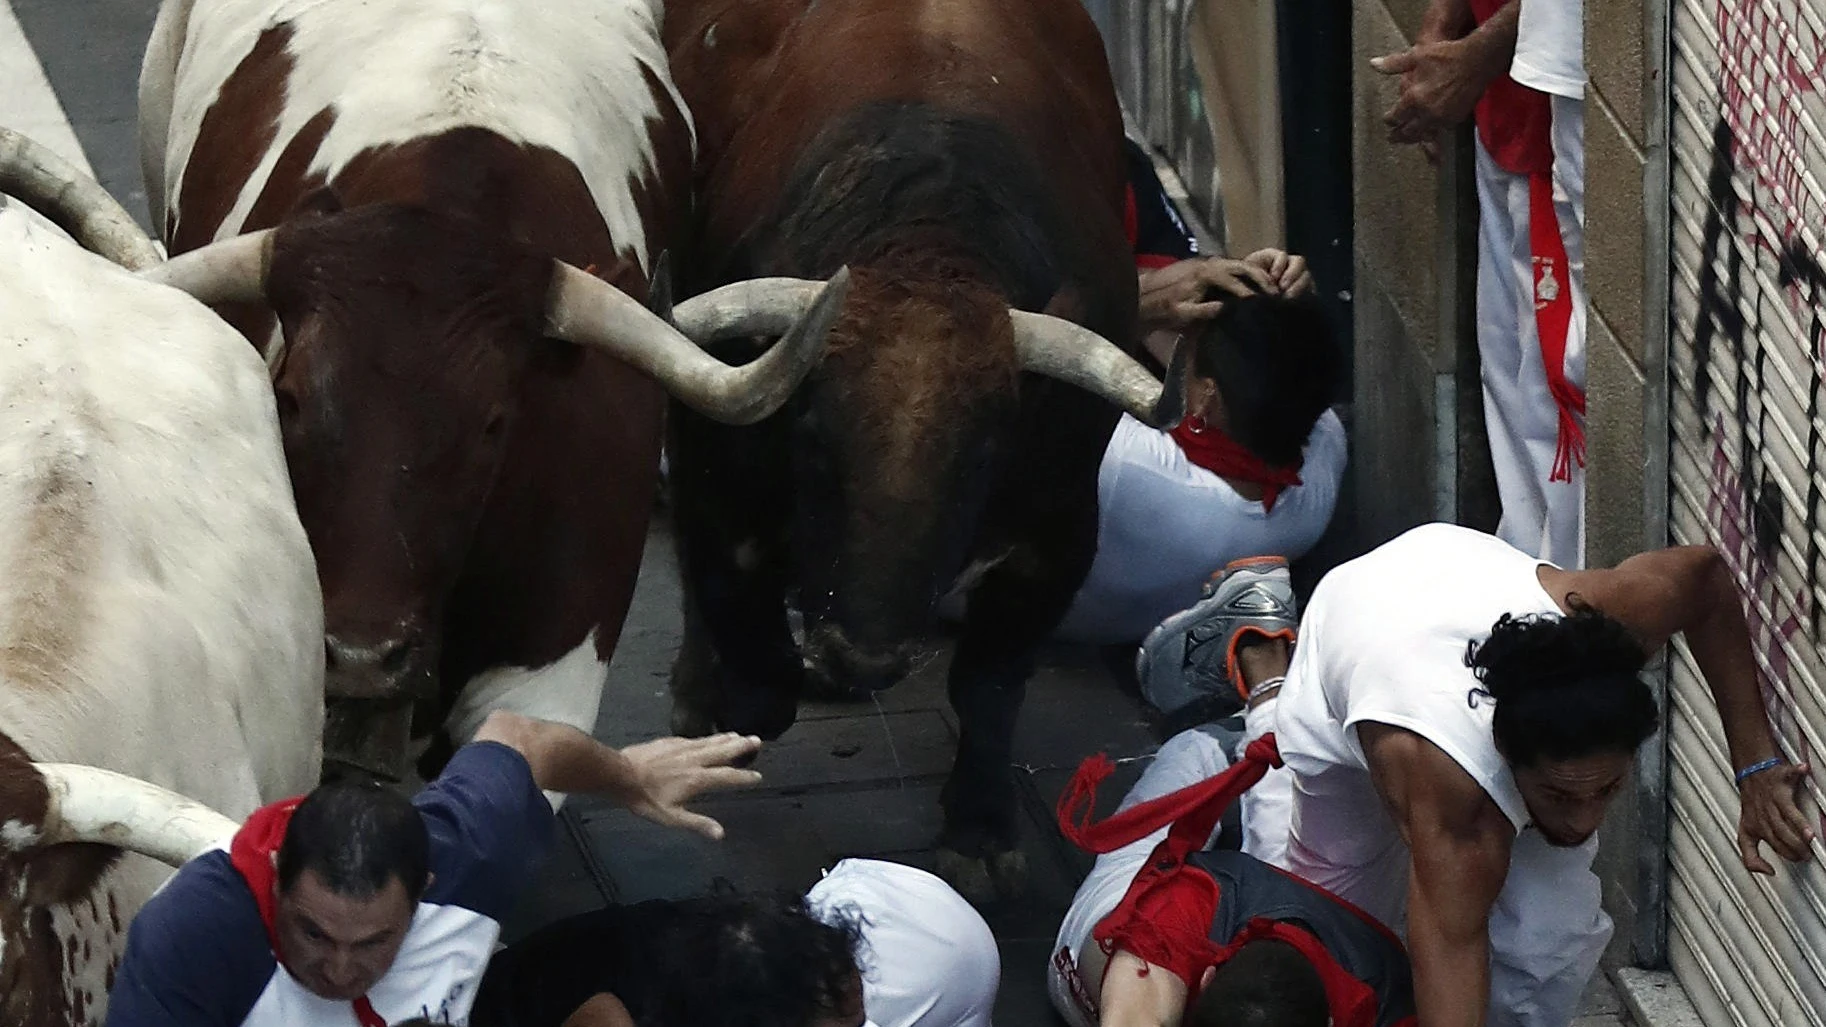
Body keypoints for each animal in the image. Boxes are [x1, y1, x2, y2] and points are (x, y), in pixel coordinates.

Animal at [664, 0, 1175, 891]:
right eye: (812, 439)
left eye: (985, 458)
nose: (863, 657)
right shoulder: (716, 495)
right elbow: (757, 667)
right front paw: (730, 703)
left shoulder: (1059, 534)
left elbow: (989, 682)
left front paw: (979, 827)